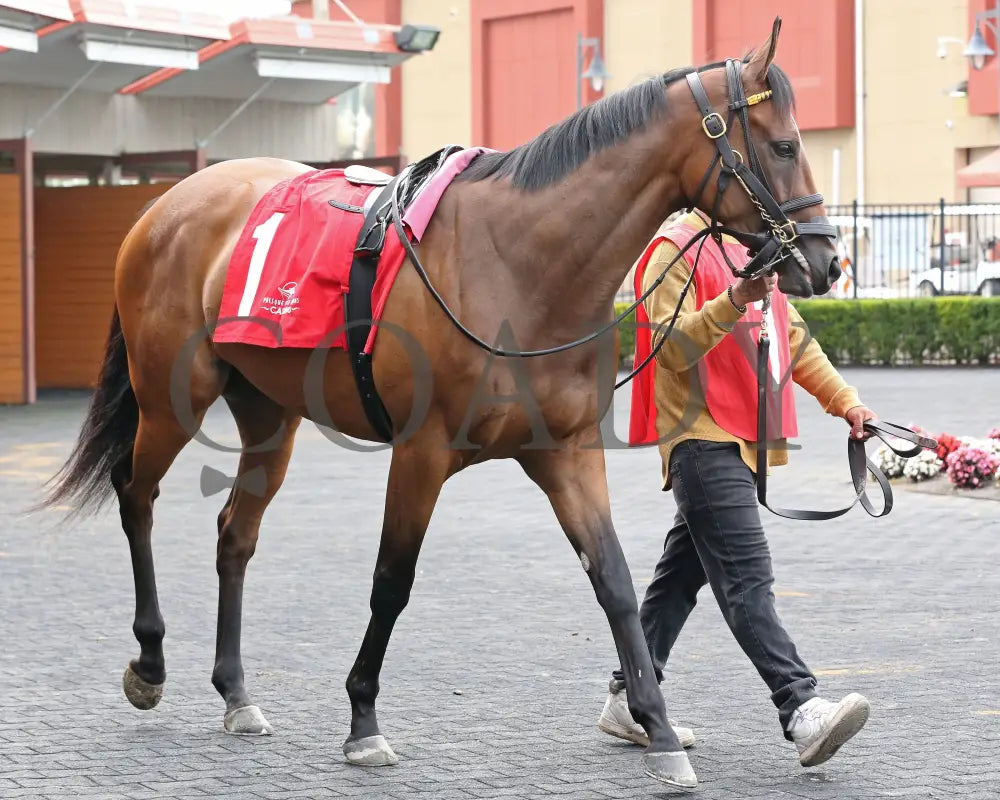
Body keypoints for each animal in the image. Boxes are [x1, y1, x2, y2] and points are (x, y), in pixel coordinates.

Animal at [41, 23, 836, 788]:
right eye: (785, 145)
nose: (827, 260)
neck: (517, 264)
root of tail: (163, 206)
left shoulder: (566, 452)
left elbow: (612, 580)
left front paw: (660, 730)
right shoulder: (420, 452)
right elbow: (392, 581)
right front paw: (363, 719)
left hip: (269, 413)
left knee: (235, 532)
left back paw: (236, 693)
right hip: (171, 400)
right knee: (135, 493)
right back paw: (149, 664)